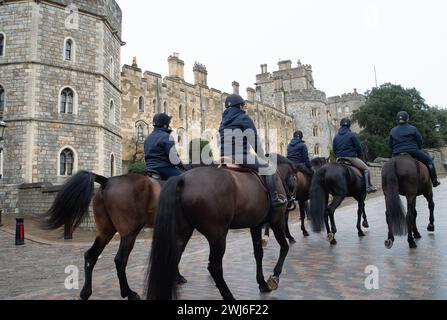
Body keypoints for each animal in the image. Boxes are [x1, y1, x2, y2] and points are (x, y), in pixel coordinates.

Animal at [44, 172, 170, 300]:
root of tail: (107, 181)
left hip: (105, 232)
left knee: (91, 255)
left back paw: (85, 292)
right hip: (129, 233)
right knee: (120, 260)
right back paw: (129, 292)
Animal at [144, 155, 298, 300]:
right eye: (295, 178)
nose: (292, 200)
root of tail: (182, 179)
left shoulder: (256, 226)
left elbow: (258, 253)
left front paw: (262, 283)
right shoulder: (277, 222)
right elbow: (284, 247)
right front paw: (275, 276)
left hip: (181, 233)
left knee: (173, 259)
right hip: (218, 236)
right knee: (215, 267)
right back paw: (229, 296)